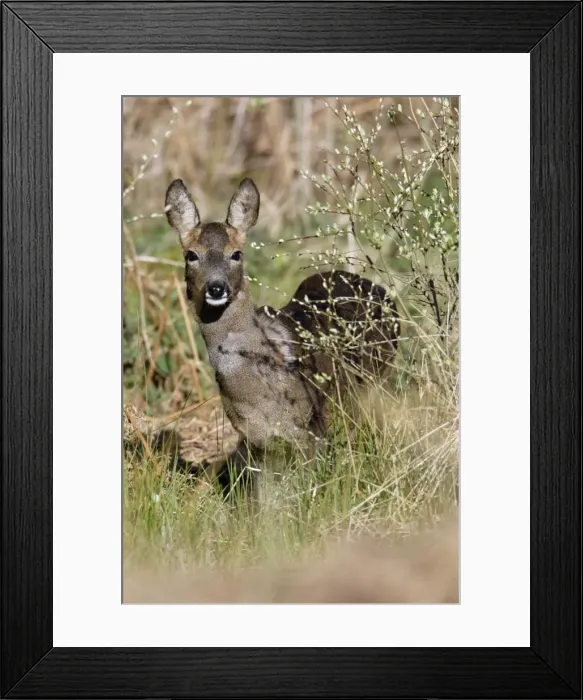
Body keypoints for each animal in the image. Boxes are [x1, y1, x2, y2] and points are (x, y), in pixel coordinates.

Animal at [164, 177, 400, 500]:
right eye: (191, 255)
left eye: (236, 253)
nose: (216, 288)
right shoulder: (255, 439)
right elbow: (265, 500)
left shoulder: (311, 428)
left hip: (377, 382)